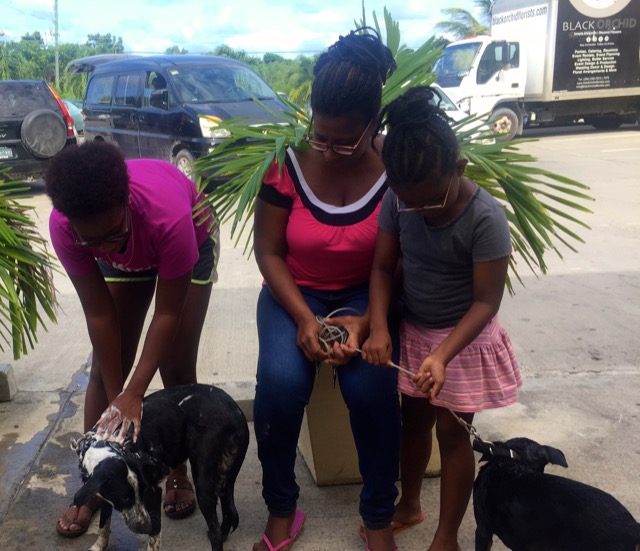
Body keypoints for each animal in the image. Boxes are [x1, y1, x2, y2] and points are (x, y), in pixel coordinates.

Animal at [70, 384, 249, 551]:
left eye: (144, 492)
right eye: (124, 498)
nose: (146, 527)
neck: (110, 440)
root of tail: (237, 412)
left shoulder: (154, 495)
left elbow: (153, 539)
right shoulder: (104, 495)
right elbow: (103, 524)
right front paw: (99, 546)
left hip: (203, 484)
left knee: (215, 532)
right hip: (224, 479)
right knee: (228, 512)